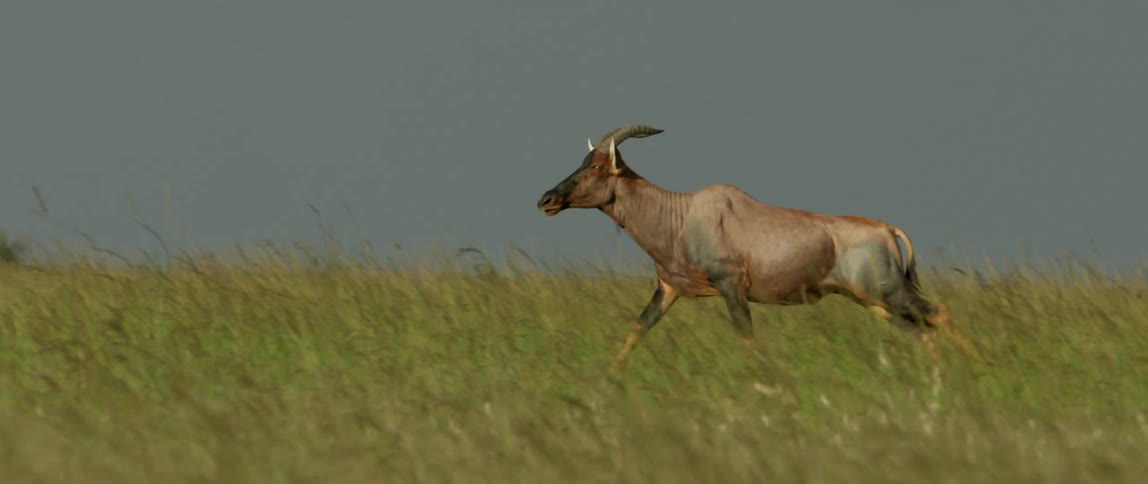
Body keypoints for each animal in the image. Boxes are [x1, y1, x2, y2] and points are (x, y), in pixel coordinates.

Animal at [536, 124, 977, 369]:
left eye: (597, 166)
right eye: (583, 161)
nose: (547, 200)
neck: (682, 214)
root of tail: (886, 229)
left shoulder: (731, 287)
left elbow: (747, 341)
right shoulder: (669, 289)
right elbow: (635, 331)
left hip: (888, 293)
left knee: (940, 315)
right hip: (875, 302)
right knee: (924, 330)